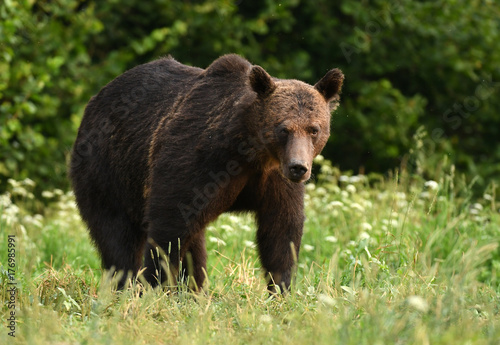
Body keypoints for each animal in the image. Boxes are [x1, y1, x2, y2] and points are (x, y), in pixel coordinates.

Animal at [69, 54, 344, 292]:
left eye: (314, 129)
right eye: (283, 128)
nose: (299, 167)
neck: (252, 151)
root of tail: (95, 100)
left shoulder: (274, 179)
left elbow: (281, 231)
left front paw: (280, 289)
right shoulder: (197, 159)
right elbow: (170, 225)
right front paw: (155, 285)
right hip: (107, 172)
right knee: (117, 236)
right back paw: (124, 286)